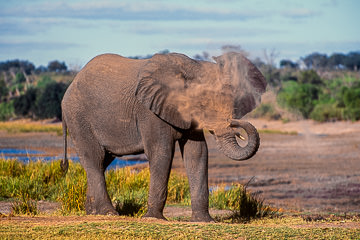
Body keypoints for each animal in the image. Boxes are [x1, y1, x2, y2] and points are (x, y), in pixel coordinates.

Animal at [60, 51, 266, 222]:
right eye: (203, 104)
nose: (236, 124)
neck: (193, 67)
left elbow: (197, 153)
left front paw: (203, 221)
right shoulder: (150, 111)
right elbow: (162, 152)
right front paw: (153, 218)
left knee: (103, 161)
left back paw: (92, 212)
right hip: (78, 117)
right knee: (94, 158)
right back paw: (108, 213)